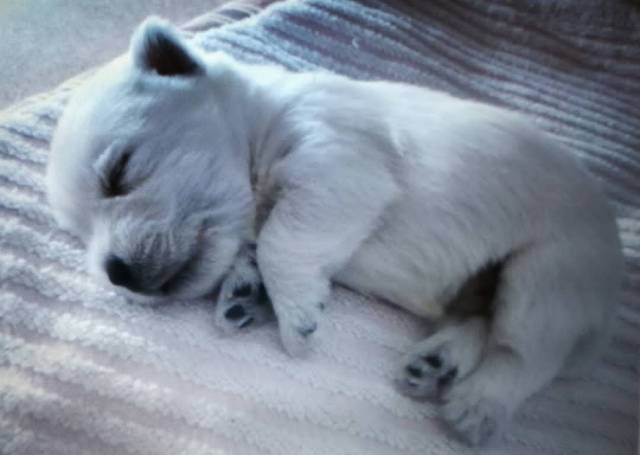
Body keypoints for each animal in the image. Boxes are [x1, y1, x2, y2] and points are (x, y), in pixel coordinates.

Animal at [46, 18, 623, 446]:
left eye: (119, 172)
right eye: (78, 233)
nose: (116, 273)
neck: (259, 121)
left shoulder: (336, 158)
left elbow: (283, 240)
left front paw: (295, 316)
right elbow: (258, 247)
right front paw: (244, 290)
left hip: (548, 269)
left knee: (526, 352)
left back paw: (478, 404)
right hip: (492, 285)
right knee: (480, 320)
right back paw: (435, 364)